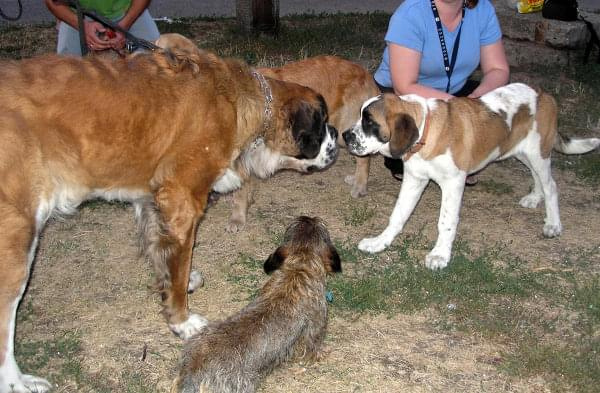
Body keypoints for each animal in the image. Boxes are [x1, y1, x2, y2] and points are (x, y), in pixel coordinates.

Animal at [155, 34, 380, 233]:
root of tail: (365, 72)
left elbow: (240, 192)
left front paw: (237, 218)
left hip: (343, 131)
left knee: (364, 156)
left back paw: (360, 185)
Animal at [342, 83, 600, 270]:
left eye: (369, 122)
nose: (345, 135)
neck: (427, 131)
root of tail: (543, 94)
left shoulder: (453, 184)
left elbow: (446, 221)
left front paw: (440, 255)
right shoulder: (414, 180)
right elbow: (398, 215)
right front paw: (379, 243)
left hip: (538, 152)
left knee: (551, 186)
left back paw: (553, 224)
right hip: (521, 151)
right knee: (537, 178)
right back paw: (534, 198)